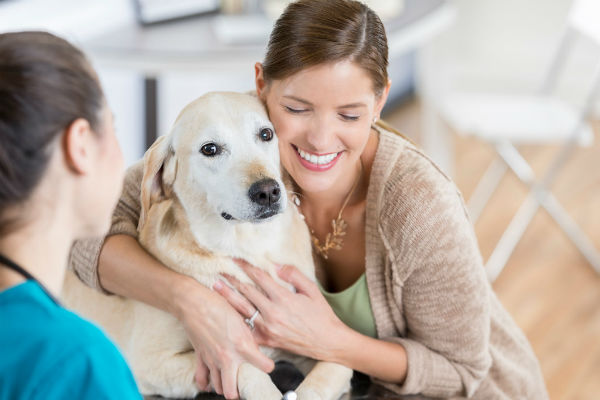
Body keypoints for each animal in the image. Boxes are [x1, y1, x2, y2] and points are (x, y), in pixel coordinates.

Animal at [62, 92, 352, 398]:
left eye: (266, 134)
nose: (268, 192)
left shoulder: (318, 341)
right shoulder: (152, 362)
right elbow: (243, 365)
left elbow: (331, 372)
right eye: (210, 149)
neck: (249, 249)